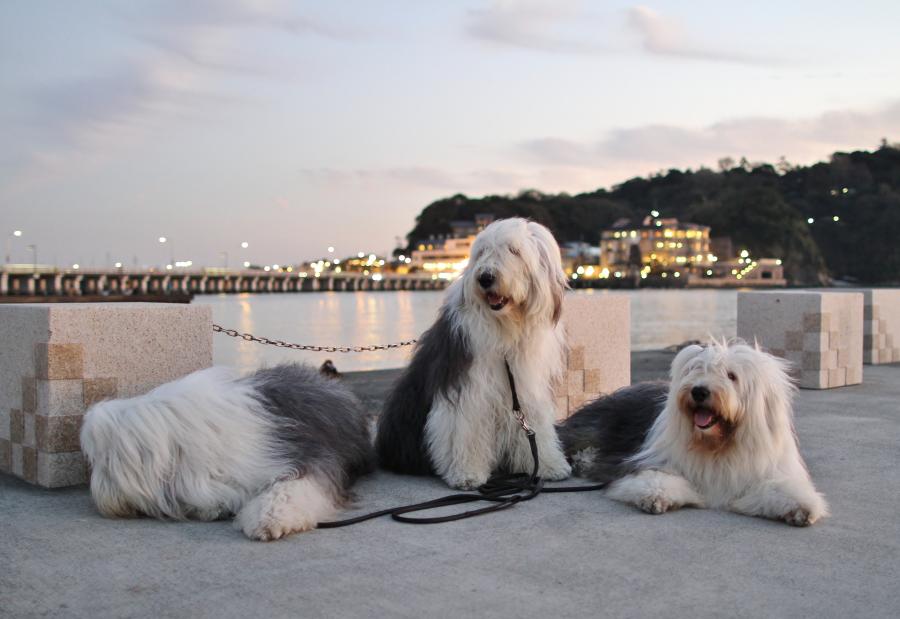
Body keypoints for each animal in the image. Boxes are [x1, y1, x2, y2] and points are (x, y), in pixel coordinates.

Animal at [376, 217, 572, 489]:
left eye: (514, 251)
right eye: (482, 252)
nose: (485, 277)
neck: (506, 328)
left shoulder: (527, 389)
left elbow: (536, 426)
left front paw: (548, 465)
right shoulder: (466, 385)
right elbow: (465, 426)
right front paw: (467, 474)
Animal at [558, 340, 829, 526]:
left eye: (731, 376)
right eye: (696, 370)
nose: (699, 391)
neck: (718, 445)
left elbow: (780, 488)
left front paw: (800, 508)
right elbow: (655, 478)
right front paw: (655, 496)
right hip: (592, 428)